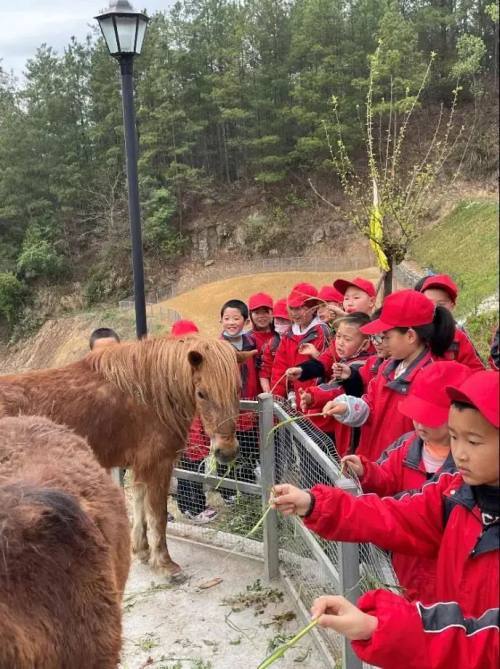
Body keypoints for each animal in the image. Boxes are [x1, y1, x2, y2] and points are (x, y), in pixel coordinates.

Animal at [0, 334, 242, 580]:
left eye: (237, 389)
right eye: (202, 393)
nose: (227, 451)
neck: (147, 396)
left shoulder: (139, 466)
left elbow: (139, 506)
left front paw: (142, 551)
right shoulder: (158, 465)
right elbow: (158, 516)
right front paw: (165, 564)